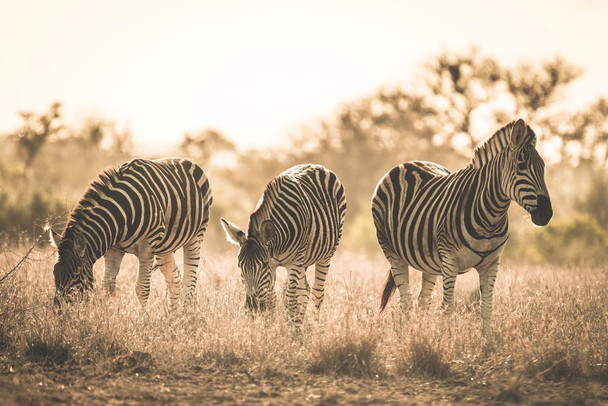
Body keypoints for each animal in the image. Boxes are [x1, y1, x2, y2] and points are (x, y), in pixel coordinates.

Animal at [48, 157, 213, 310]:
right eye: (54, 273)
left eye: (76, 273)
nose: (59, 311)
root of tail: (187, 160)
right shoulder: (113, 250)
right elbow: (107, 287)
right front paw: (104, 316)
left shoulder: (147, 248)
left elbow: (142, 289)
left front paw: (143, 320)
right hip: (165, 247)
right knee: (175, 279)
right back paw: (174, 317)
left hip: (196, 236)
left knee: (189, 281)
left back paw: (186, 316)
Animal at [222, 163, 346, 326]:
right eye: (239, 266)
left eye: (263, 264)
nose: (252, 309)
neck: (277, 245)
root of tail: (317, 166)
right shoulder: (274, 264)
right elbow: (271, 299)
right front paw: (269, 327)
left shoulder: (292, 262)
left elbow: (290, 299)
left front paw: (291, 329)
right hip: (304, 261)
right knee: (304, 290)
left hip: (325, 255)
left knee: (317, 293)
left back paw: (314, 325)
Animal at [372, 119, 552, 338]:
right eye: (521, 166)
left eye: (543, 167)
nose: (546, 214)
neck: (490, 217)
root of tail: (406, 163)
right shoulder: (450, 262)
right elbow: (447, 307)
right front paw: (444, 341)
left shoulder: (492, 264)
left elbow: (486, 306)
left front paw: (487, 342)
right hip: (392, 253)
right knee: (406, 300)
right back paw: (408, 335)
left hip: (429, 261)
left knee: (422, 300)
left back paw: (420, 334)